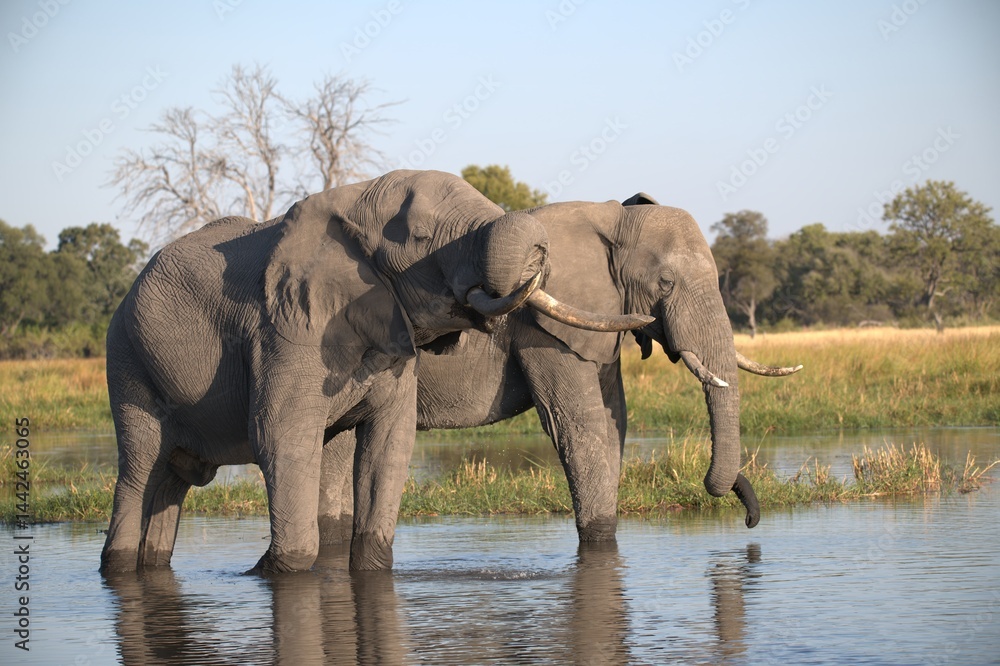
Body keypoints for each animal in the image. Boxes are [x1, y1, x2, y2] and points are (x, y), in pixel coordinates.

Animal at [100, 169, 641, 575]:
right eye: (421, 237)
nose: (542, 256)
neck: (353, 198)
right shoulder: (286, 330)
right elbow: (279, 437)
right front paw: (274, 572)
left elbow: (389, 444)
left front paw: (369, 570)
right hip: (127, 363)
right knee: (141, 469)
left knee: (170, 483)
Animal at [317, 192, 800, 544]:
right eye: (665, 283)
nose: (749, 520)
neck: (612, 221)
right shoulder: (544, 330)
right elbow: (577, 422)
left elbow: (614, 418)